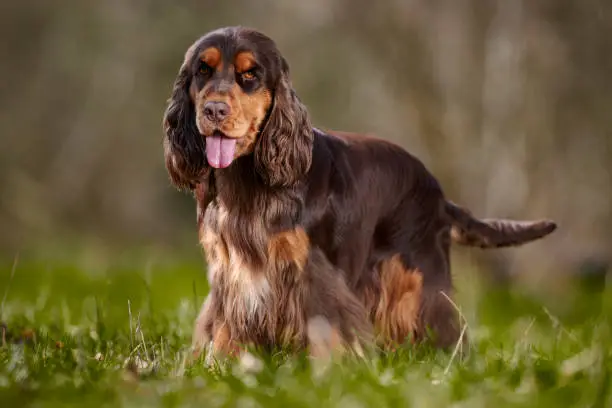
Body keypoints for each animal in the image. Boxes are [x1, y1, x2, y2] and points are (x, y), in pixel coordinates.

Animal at [160, 26, 556, 360]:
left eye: (249, 76)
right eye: (202, 70)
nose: (214, 109)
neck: (247, 181)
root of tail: (438, 193)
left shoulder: (313, 272)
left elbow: (327, 326)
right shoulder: (230, 274)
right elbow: (223, 326)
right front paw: (219, 365)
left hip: (418, 275)